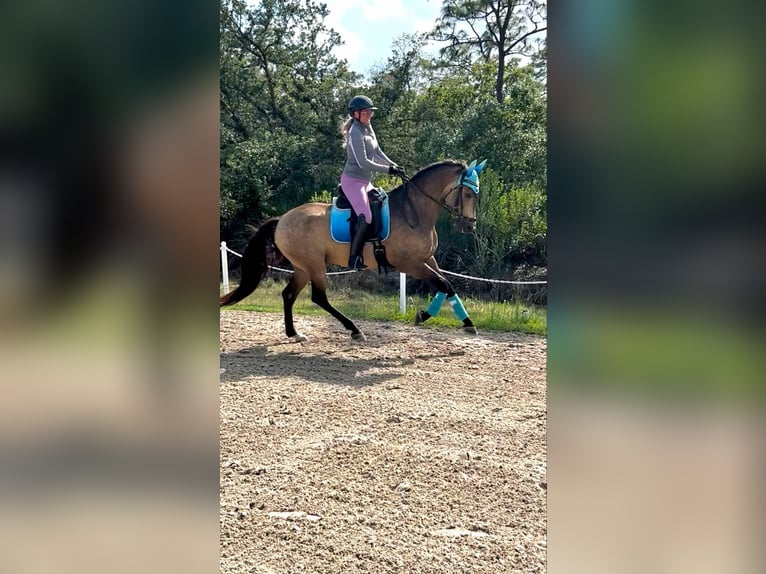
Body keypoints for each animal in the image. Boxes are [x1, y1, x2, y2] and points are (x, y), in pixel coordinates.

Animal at [220, 159, 487, 342]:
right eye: (467, 193)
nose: (469, 226)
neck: (414, 211)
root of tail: (283, 219)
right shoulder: (409, 263)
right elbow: (444, 284)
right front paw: (464, 323)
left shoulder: (427, 259)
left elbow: (445, 285)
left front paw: (429, 316)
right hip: (314, 265)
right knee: (319, 298)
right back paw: (354, 330)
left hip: (302, 267)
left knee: (288, 295)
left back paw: (294, 333)